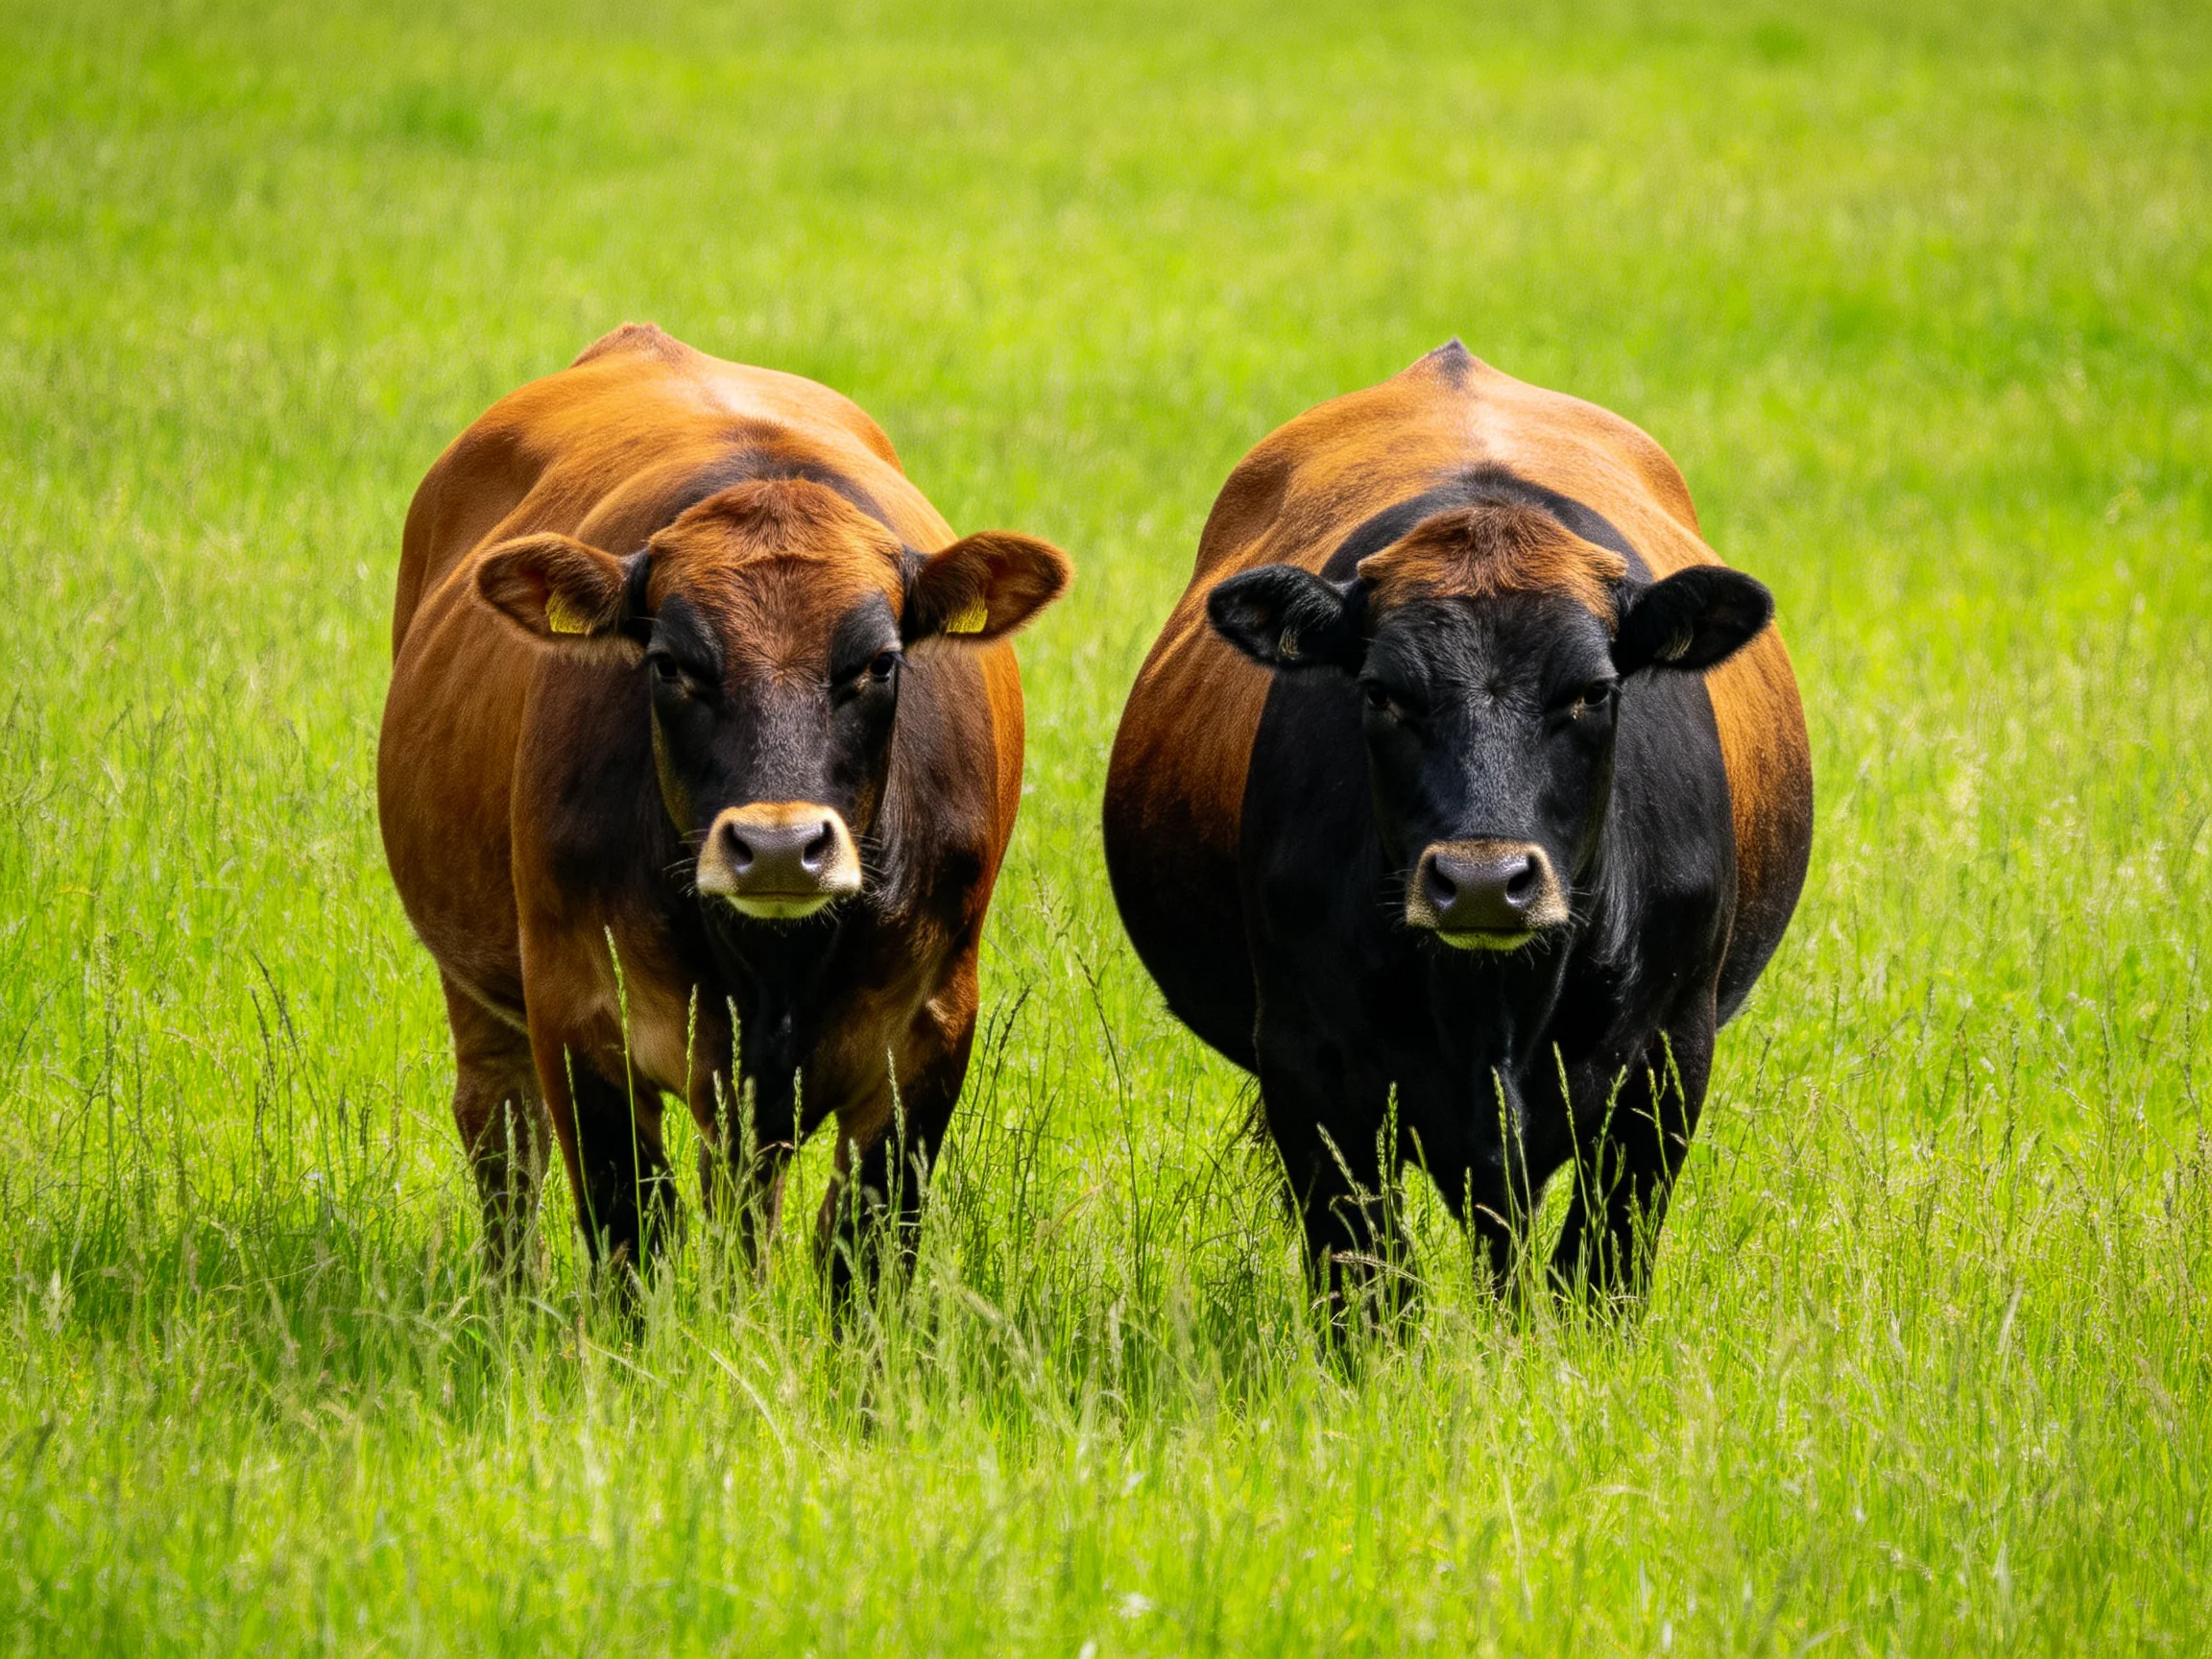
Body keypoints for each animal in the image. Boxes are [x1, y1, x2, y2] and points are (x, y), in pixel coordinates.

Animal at [379, 324, 1070, 1293]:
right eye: (671, 663)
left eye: (880, 662)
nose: (780, 847)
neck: (773, 968)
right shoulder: (575, 1012)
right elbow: (629, 1233)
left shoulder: (933, 1028)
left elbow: (861, 1247)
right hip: (481, 990)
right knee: (504, 1139)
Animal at [1103, 342, 1811, 1323]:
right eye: (1380, 692)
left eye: (1594, 690)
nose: (1483, 881)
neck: (1492, 1008)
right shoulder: (1308, 1067)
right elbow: (1369, 1284)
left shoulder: (1669, 1058)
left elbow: (1597, 1272)